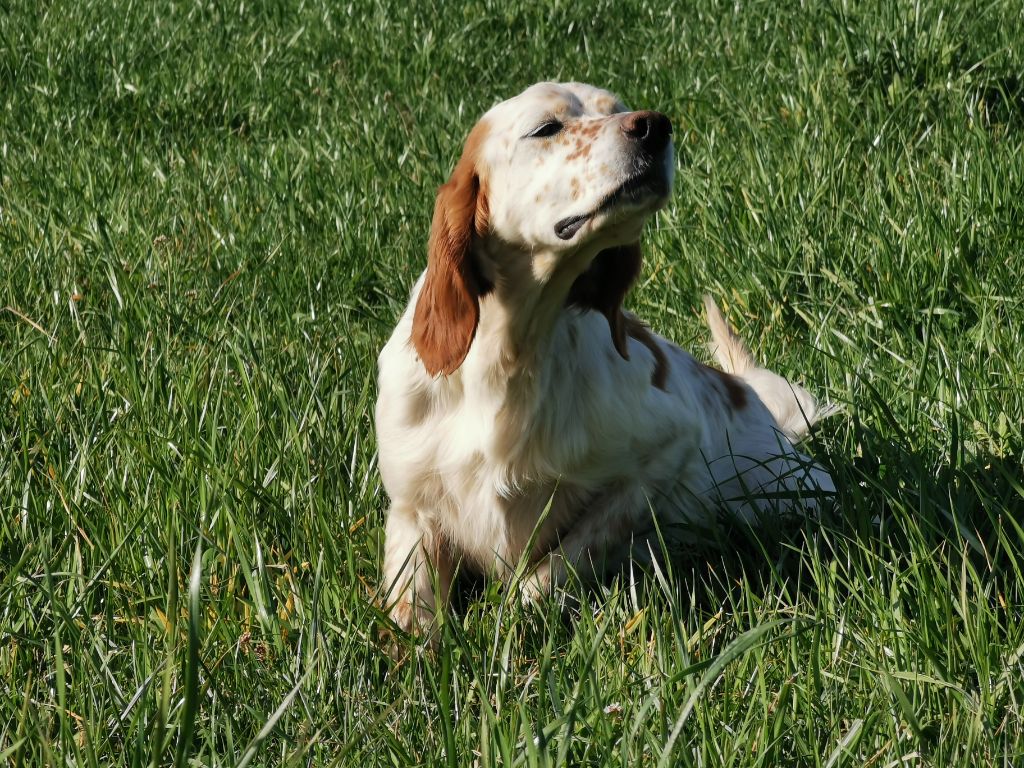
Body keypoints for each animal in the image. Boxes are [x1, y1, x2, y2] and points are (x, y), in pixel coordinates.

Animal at [376, 82, 831, 638]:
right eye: (546, 128)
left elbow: (562, 560)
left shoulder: (668, 445)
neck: (510, 357)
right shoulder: (411, 504)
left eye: (619, 110)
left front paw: (514, 617)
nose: (655, 126)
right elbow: (411, 610)